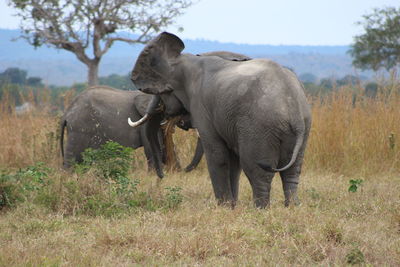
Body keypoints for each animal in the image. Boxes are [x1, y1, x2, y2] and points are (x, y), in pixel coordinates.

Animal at [130, 33, 310, 209]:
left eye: (162, 93)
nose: (162, 177)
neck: (183, 60)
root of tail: (294, 109)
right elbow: (233, 162)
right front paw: (232, 206)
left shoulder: (201, 105)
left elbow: (217, 154)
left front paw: (223, 206)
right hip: (301, 128)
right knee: (292, 171)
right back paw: (292, 207)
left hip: (260, 128)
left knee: (257, 170)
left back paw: (260, 209)